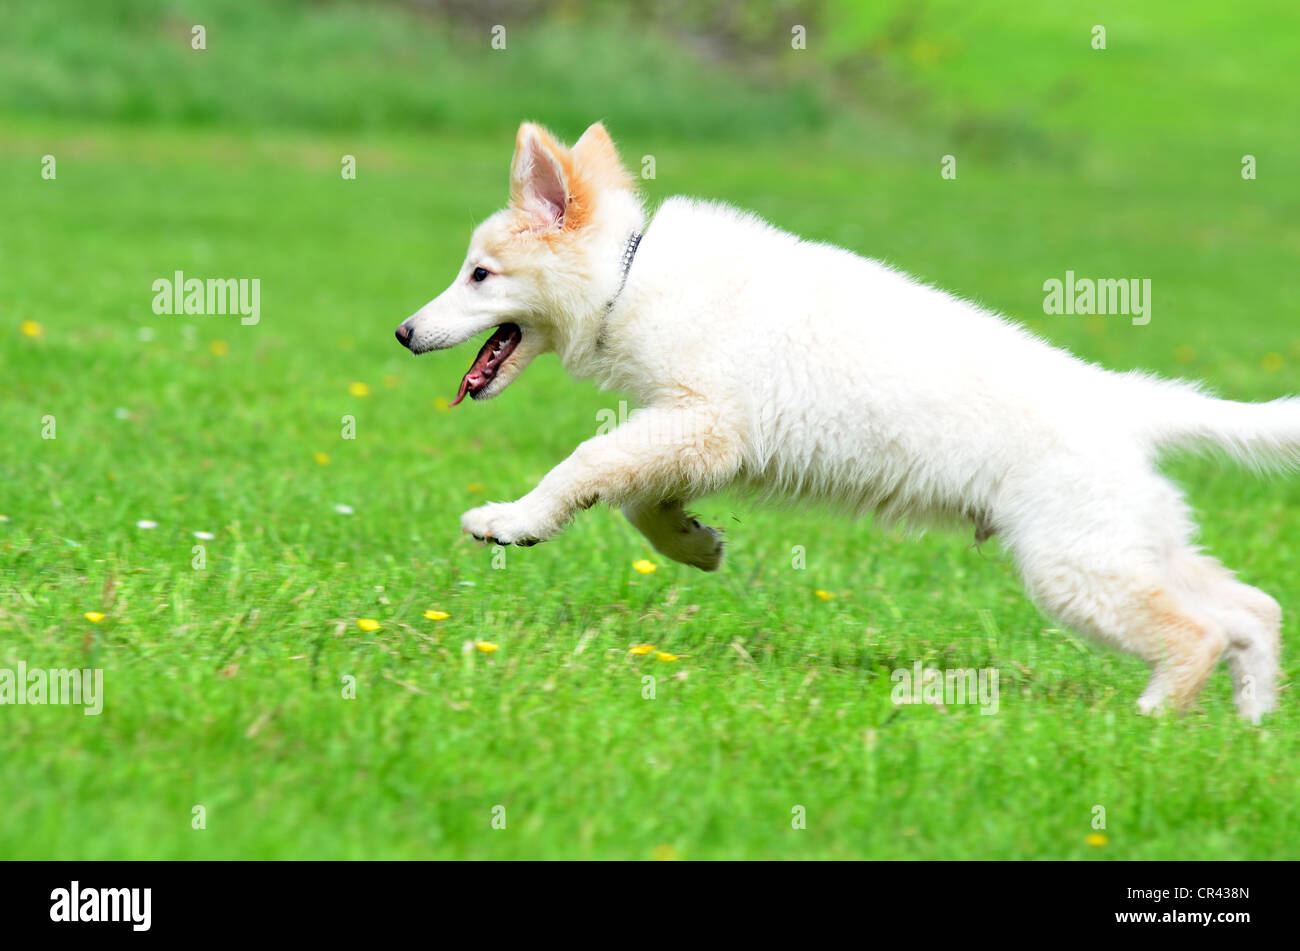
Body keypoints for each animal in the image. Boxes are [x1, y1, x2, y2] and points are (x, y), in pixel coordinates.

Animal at [395, 120, 1289, 722]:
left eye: (480, 275)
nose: (404, 333)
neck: (626, 274)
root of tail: (1121, 398)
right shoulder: (695, 434)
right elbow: (639, 498)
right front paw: (695, 544)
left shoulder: (703, 421)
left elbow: (585, 465)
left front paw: (512, 520)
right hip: (1127, 542)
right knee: (1250, 609)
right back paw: (1250, 725)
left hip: (1075, 564)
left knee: (1197, 632)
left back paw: (1152, 720)